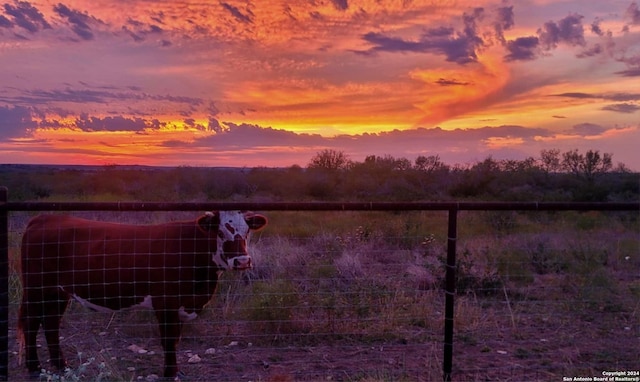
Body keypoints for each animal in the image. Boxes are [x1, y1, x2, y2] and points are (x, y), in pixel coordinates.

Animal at [17, 212, 266, 380]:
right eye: (220, 232)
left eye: (247, 232)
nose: (242, 261)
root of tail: (44, 218)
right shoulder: (165, 303)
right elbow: (169, 339)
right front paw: (170, 373)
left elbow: (175, 339)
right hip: (37, 289)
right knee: (31, 324)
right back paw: (34, 367)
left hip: (58, 293)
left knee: (51, 323)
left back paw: (61, 365)